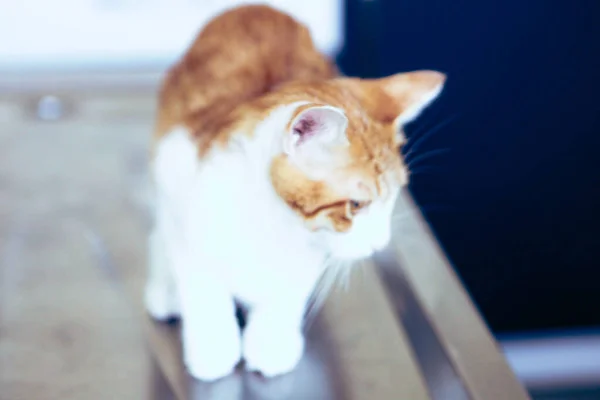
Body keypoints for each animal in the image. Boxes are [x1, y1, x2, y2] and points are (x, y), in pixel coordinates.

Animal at [145, 3, 446, 382]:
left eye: (394, 198)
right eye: (356, 204)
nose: (381, 244)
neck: (274, 223)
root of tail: (257, 8)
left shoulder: (312, 250)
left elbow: (286, 292)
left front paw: (270, 342)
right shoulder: (180, 190)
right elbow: (203, 288)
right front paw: (214, 348)